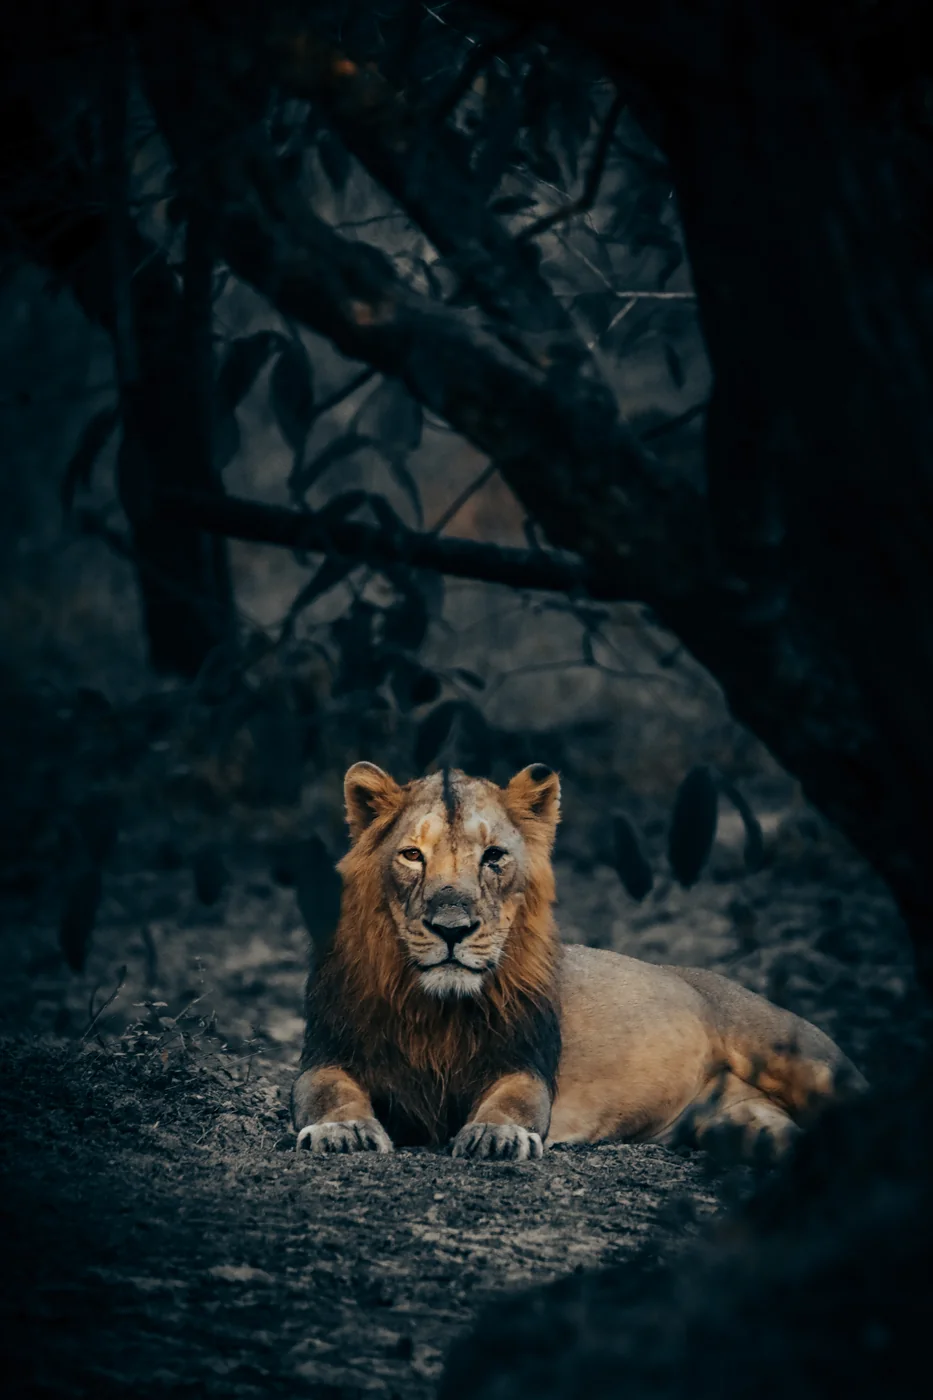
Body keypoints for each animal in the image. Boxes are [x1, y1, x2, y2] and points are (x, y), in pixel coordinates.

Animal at [292, 762, 866, 1163]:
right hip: (733, 1117)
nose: (452, 929)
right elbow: (326, 1091)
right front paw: (341, 1130)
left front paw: (497, 1136)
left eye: (494, 857)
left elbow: (514, 1102)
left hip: (802, 1058)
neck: (437, 1009)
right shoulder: (326, 1052)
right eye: (412, 855)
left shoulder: (525, 1062)